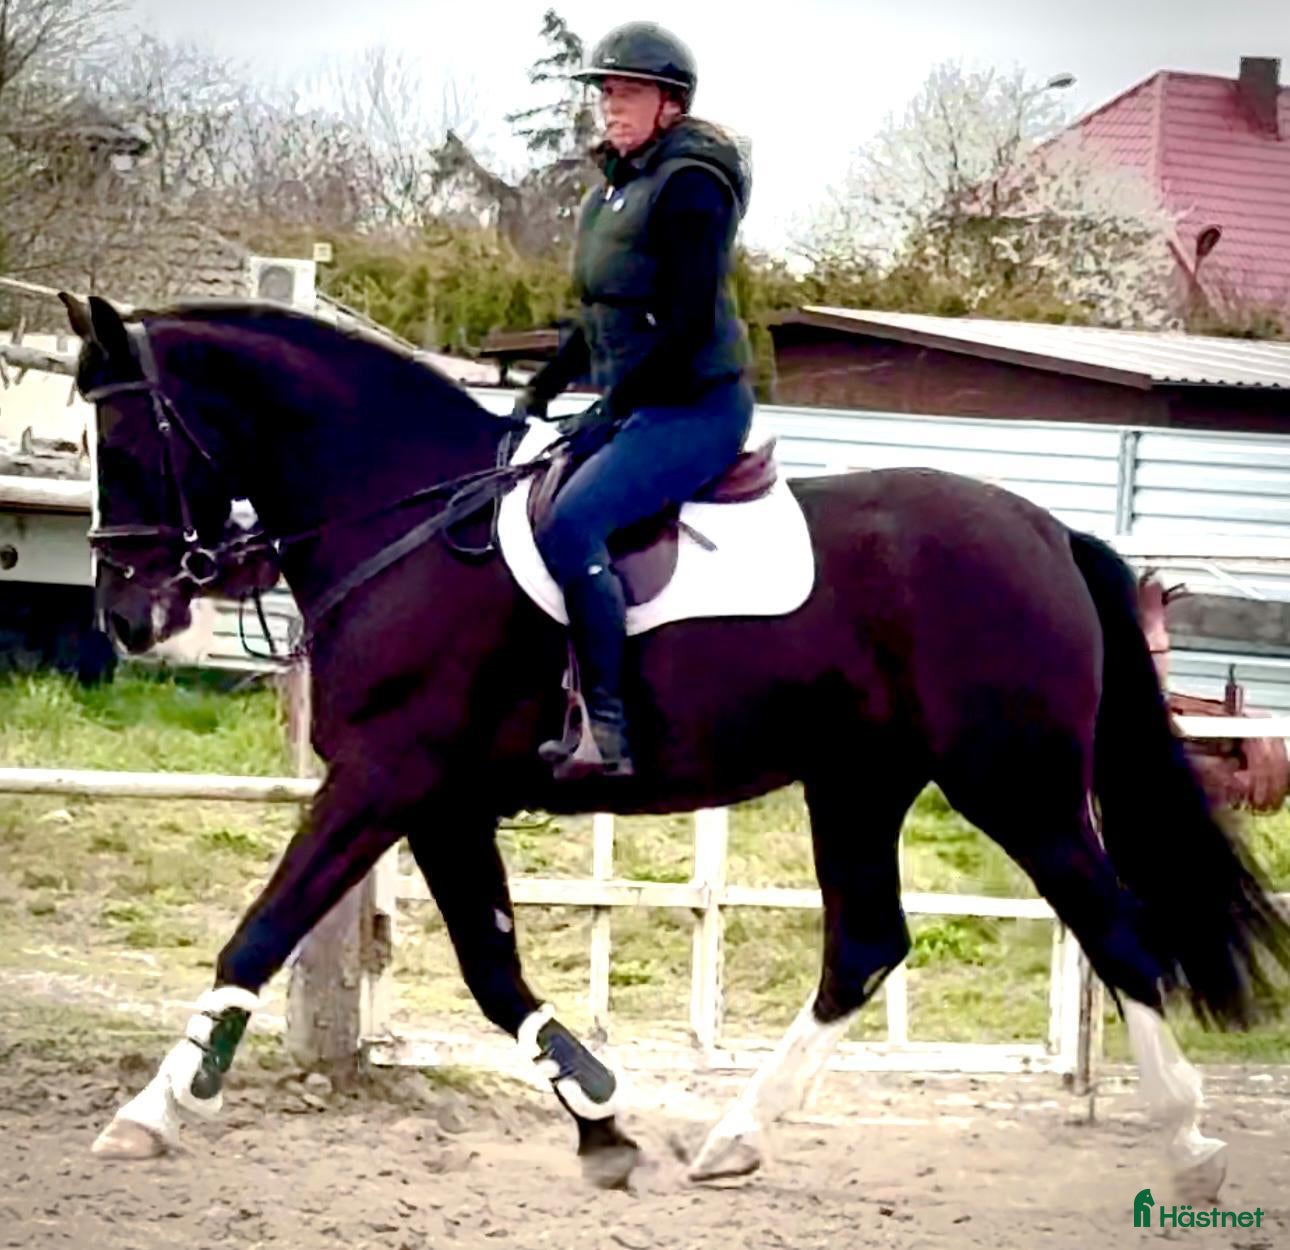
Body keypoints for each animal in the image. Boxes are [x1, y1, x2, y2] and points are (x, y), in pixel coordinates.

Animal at [60, 292, 1288, 1197]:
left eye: (122, 436)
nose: (129, 614)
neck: (409, 520)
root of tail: (1046, 529)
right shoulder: (442, 801)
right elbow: (494, 973)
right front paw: (601, 1120)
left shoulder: (382, 780)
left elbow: (259, 934)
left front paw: (152, 1111)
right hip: (861, 783)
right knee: (865, 945)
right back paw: (734, 1138)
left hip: (1016, 786)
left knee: (1117, 932)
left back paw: (1192, 1147)